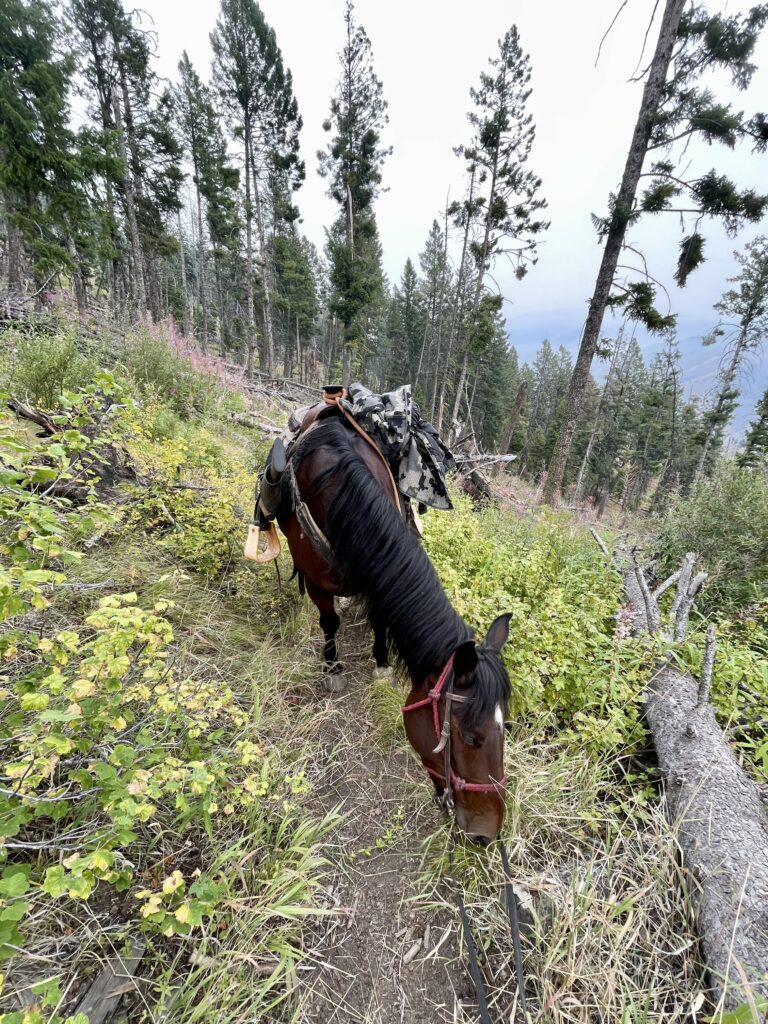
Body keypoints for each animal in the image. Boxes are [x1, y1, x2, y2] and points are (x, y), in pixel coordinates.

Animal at [274, 411, 514, 843]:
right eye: (471, 738)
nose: (487, 834)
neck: (339, 490)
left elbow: (380, 616)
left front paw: (382, 662)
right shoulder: (317, 581)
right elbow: (328, 619)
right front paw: (332, 667)